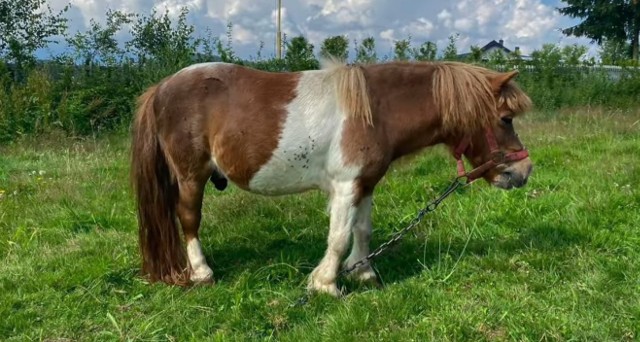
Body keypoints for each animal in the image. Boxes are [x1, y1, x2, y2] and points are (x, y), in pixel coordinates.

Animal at [131, 58, 536, 296]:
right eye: (505, 119)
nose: (523, 171)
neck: (377, 111)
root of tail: (160, 88)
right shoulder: (345, 186)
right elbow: (339, 237)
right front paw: (326, 283)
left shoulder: (366, 184)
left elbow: (362, 230)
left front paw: (363, 273)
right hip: (191, 177)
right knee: (189, 220)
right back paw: (202, 273)